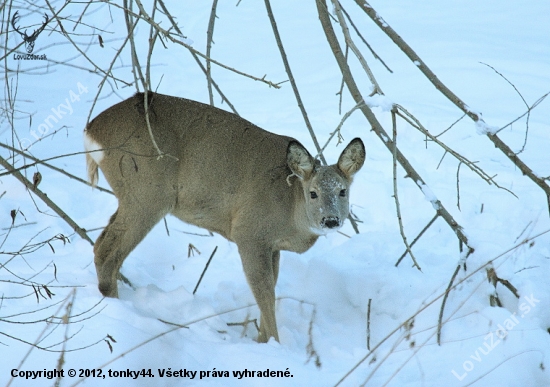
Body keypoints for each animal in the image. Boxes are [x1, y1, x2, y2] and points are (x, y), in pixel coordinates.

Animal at [84, 92, 366, 344]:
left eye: (343, 190)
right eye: (313, 193)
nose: (331, 220)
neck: (290, 205)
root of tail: (91, 131)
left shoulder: (272, 246)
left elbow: (271, 288)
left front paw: (262, 340)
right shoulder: (249, 232)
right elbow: (264, 292)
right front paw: (275, 345)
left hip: (132, 195)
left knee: (100, 243)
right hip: (147, 191)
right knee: (108, 251)